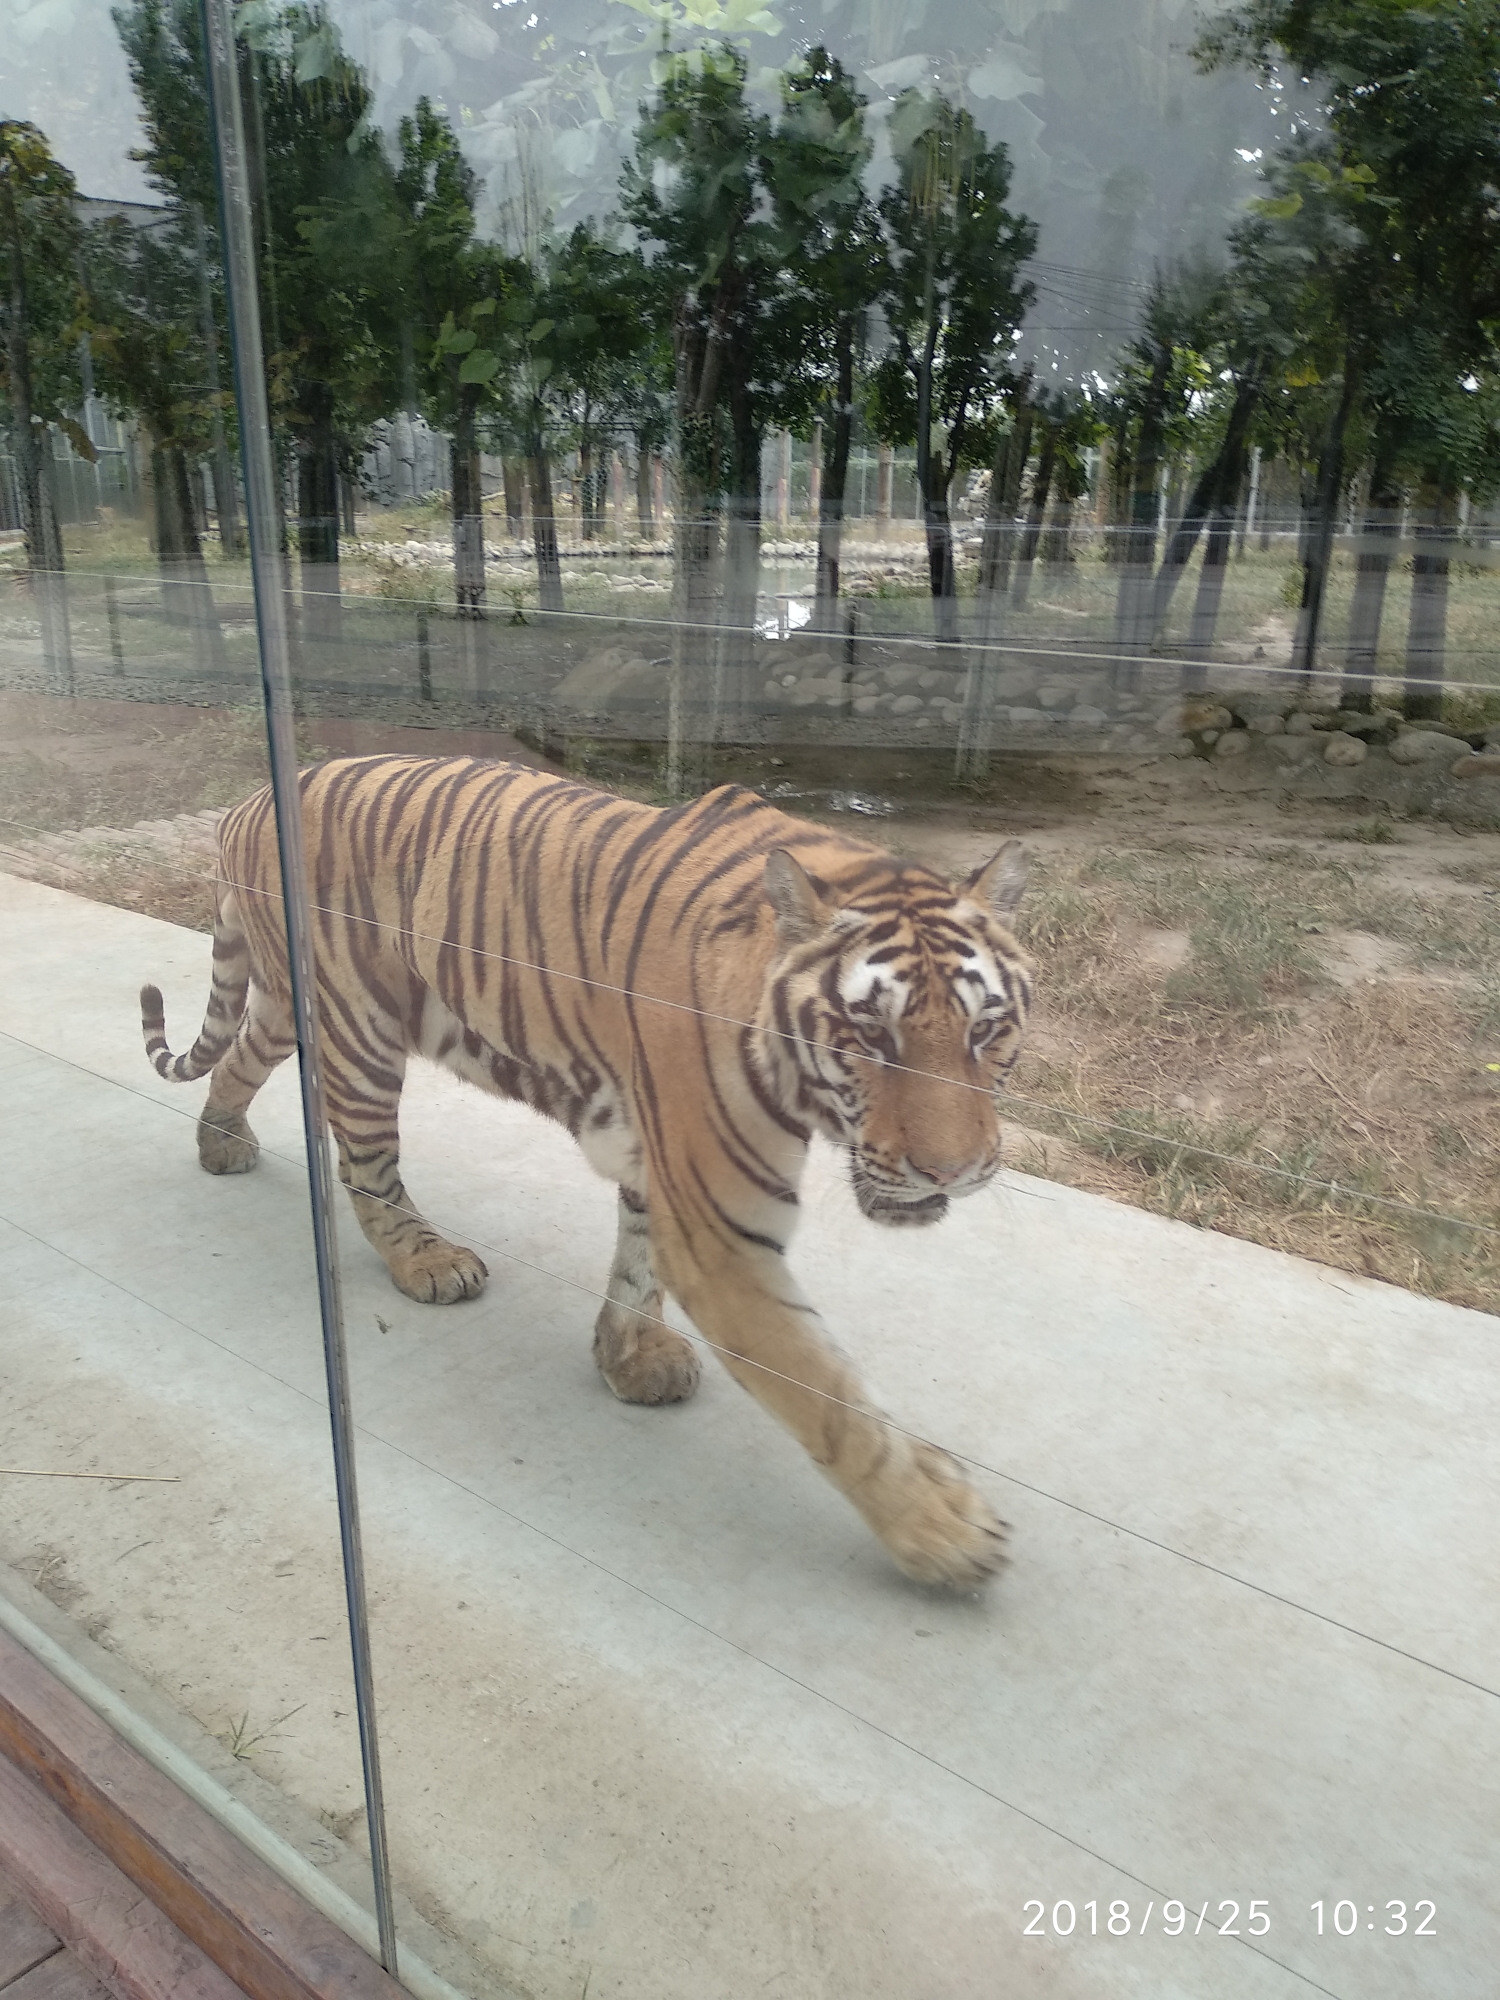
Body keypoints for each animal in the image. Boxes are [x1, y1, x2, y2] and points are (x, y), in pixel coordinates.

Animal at [141, 756, 1032, 1584]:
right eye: (871, 1035)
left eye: (986, 1030)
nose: (952, 1171)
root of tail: (251, 800)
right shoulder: (722, 1231)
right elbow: (826, 1390)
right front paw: (944, 1529)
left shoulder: (662, 1169)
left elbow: (637, 1266)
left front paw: (629, 1359)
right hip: (360, 1024)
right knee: (365, 1163)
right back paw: (428, 1260)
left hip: (291, 1003)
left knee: (241, 1056)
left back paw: (221, 1143)